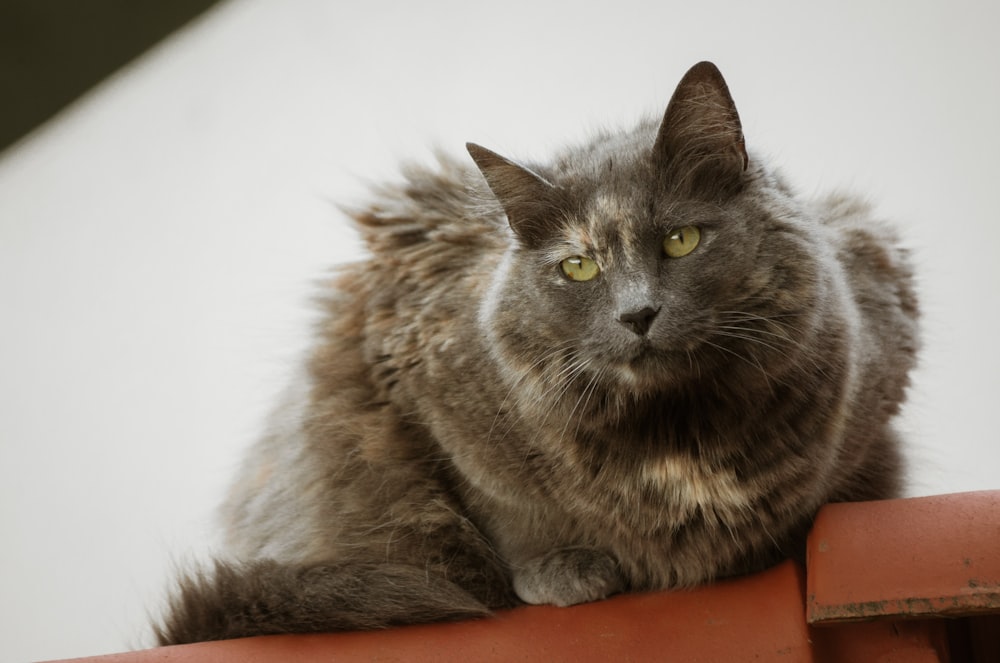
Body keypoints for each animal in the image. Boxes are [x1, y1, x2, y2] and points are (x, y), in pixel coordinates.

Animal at [154, 61, 916, 644]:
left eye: (681, 241)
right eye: (578, 267)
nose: (638, 313)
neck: (676, 431)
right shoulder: (415, 378)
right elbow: (501, 501)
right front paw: (562, 565)